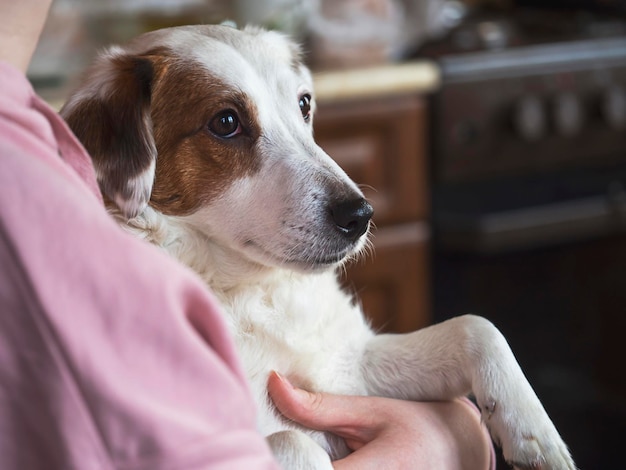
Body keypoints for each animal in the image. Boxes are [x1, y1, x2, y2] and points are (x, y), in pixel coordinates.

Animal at [61, 23, 572, 468]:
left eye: (304, 104)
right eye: (225, 122)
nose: (360, 216)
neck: (249, 294)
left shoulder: (348, 369)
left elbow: (477, 327)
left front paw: (535, 435)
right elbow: (292, 442)